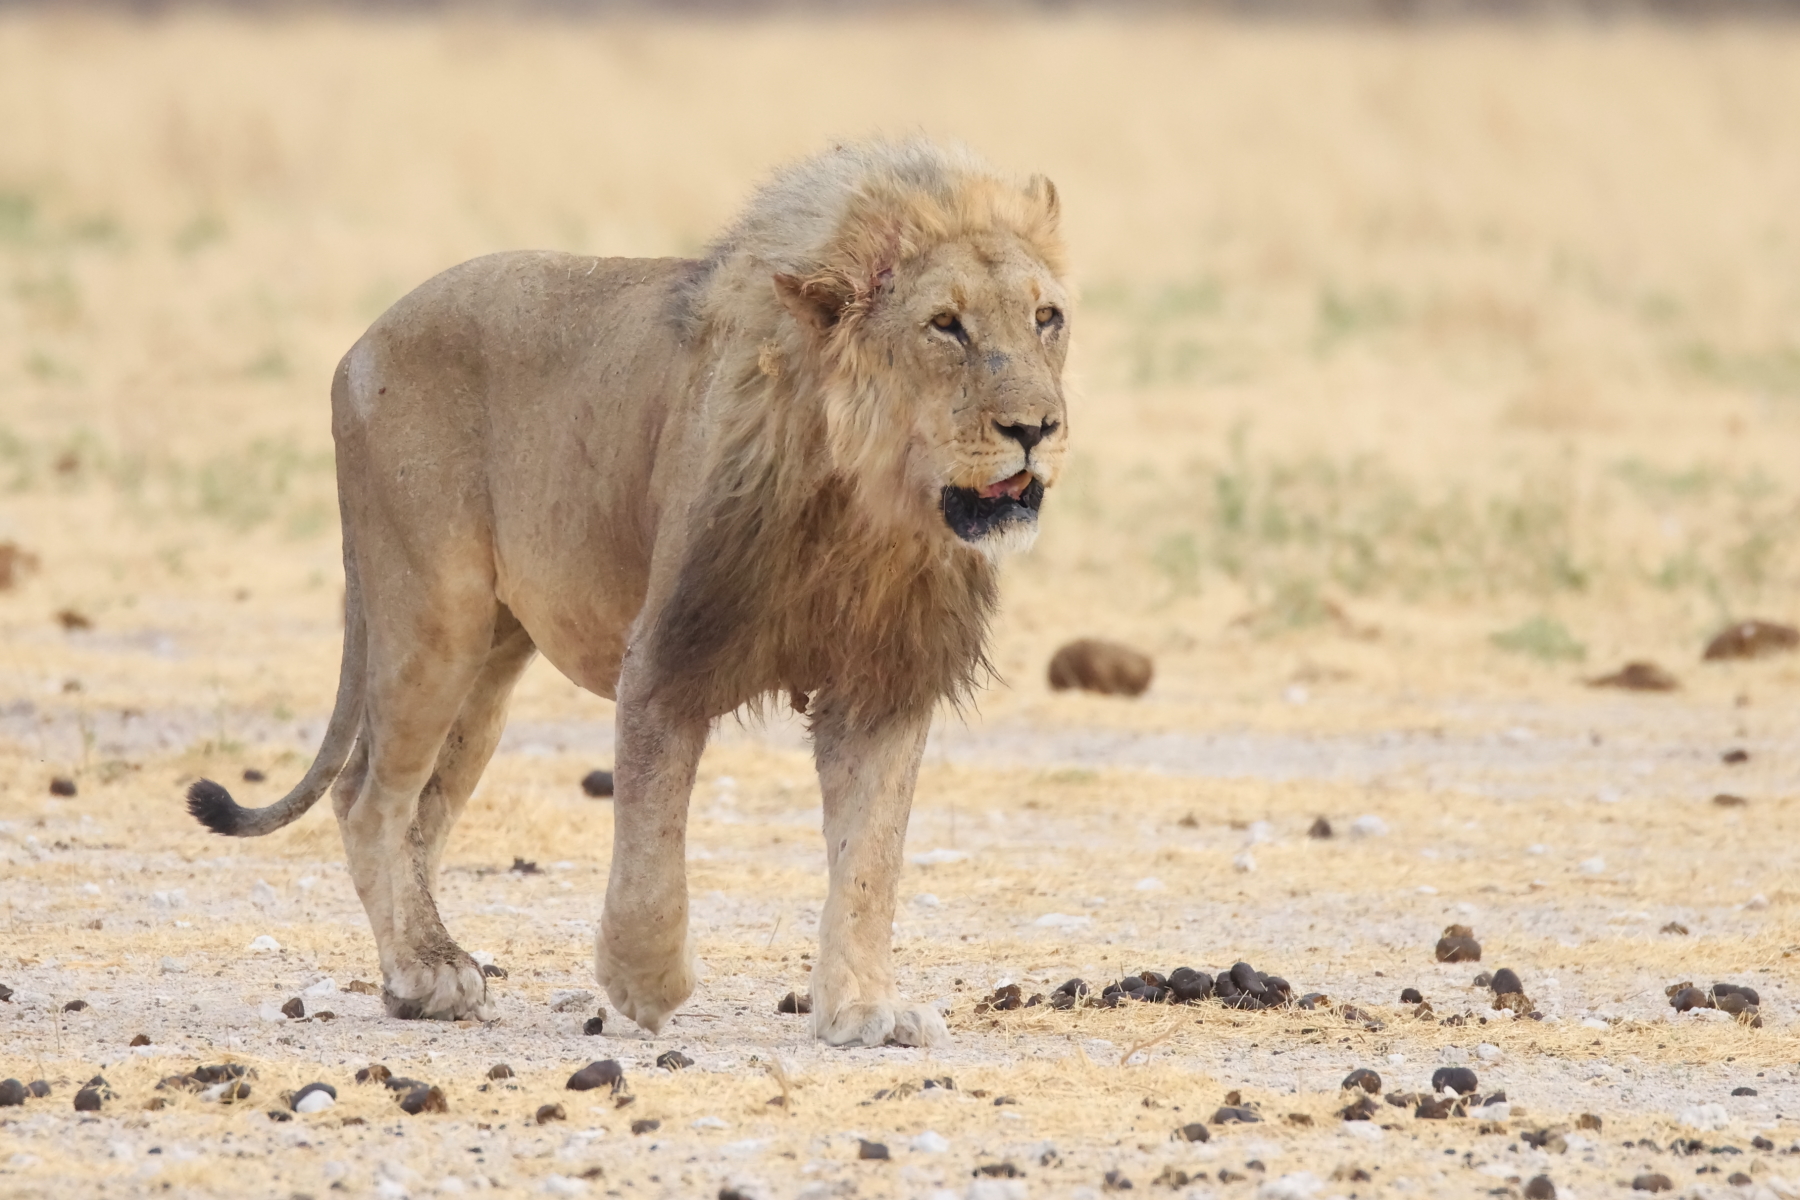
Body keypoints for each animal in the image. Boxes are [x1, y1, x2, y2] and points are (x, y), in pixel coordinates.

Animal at [183, 138, 1070, 1047]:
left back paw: (424, 970)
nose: (1036, 429)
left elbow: (870, 860)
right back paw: (426, 972)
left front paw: (862, 1010)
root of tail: (358, 345)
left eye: (1047, 318)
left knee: (421, 812)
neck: (868, 502)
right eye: (945, 325)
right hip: (433, 621)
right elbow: (652, 842)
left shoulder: (882, 683)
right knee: (369, 800)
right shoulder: (669, 652)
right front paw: (646, 984)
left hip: (489, 663)